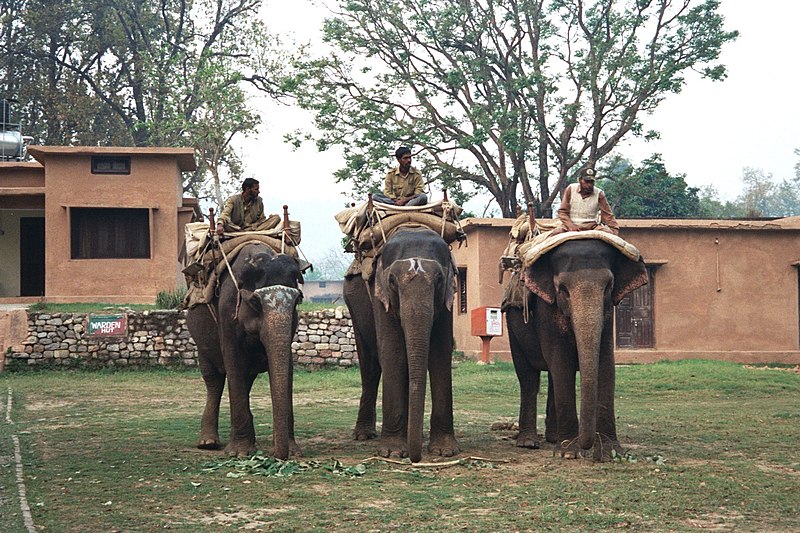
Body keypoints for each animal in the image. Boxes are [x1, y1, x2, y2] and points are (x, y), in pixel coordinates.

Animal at [186, 243, 304, 460]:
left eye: (297, 301)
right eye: (255, 302)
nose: (277, 455)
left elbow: (286, 366)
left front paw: (294, 451)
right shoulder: (227, 311)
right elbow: (233, 359)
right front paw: (239, 453)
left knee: (245, 378)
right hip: (199, 337)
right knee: (213, 378)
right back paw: (208, 443)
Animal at [342, 225, 456, 462]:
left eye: (439, 280)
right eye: (392, 281)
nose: (416, 459)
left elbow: (440, 353)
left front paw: (444, 451)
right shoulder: (379, 294)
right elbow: (392, 352)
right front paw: (392, 452)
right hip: (354, 305)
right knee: (370, 365)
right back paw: (363, 435)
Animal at [516, 239, 648, 460]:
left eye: (608, 287)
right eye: (562, 289)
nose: (587, 446)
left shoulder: (607, 315)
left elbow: (606, 363)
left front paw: (610, 453)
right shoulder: (546, 310)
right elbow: (561, 362)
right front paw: (569, 453)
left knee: (550, 378)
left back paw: (553, 438)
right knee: (528, 379)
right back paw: (528, 443)